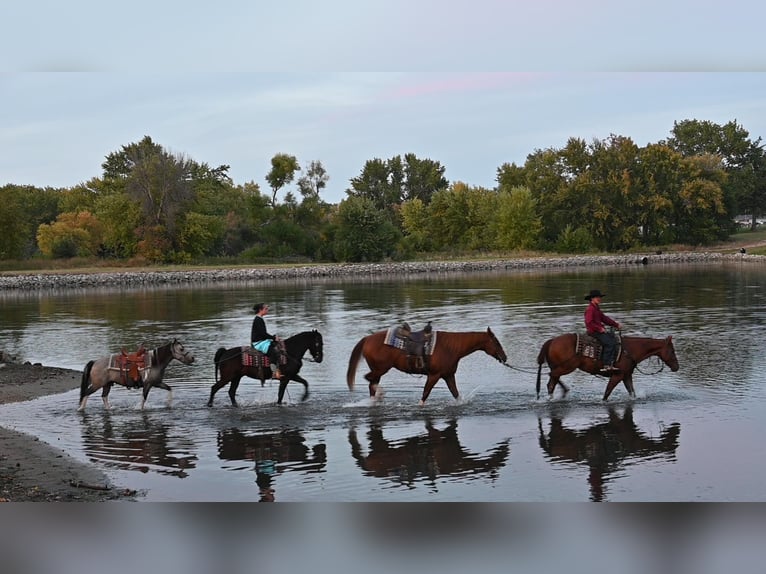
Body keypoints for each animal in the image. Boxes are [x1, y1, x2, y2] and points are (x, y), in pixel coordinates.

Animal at [348, 326, 510, 408]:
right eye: (496, 342)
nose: (505, 357)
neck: (451, 348)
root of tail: (367, 339)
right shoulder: (434, 375)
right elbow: (425, 393)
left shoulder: (448, 375)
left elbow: (455, 393)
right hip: (381, 369)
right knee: (369, 379)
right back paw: (380, 394)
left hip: (379, 370)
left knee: (371, 383)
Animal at [536, 336, 680, 402]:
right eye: (672, 351)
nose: (676, 367)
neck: (630, 350)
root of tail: (551, 341)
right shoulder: (617, 376)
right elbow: (607, 393)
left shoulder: (626, 376)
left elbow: (631, 392)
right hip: (566, 367)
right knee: (551, 379)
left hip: (560, 367)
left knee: (553, 378)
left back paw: (561, 393)